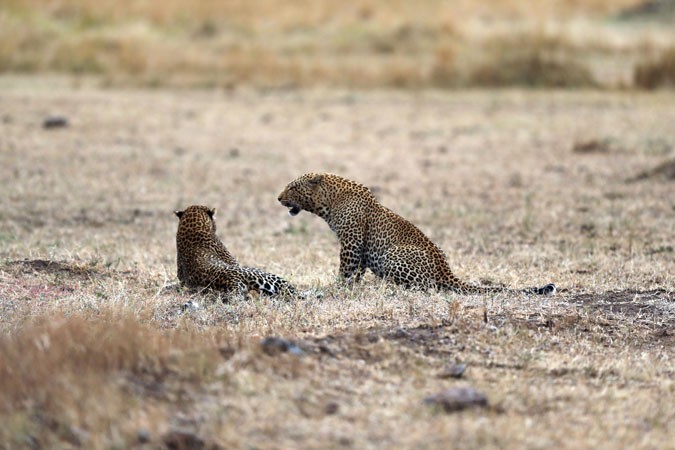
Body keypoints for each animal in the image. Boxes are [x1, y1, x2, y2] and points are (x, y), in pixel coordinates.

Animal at [278, 172, 556, 296]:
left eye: (292, 187)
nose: (278, 198)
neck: (328, 202)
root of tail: (447, 272)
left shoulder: (351, 241)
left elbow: (346, 269)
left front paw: (338, 288)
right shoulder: (359, 247)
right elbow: (357, 271)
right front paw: (352, 287)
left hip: (394, 255)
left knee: (427, 287)